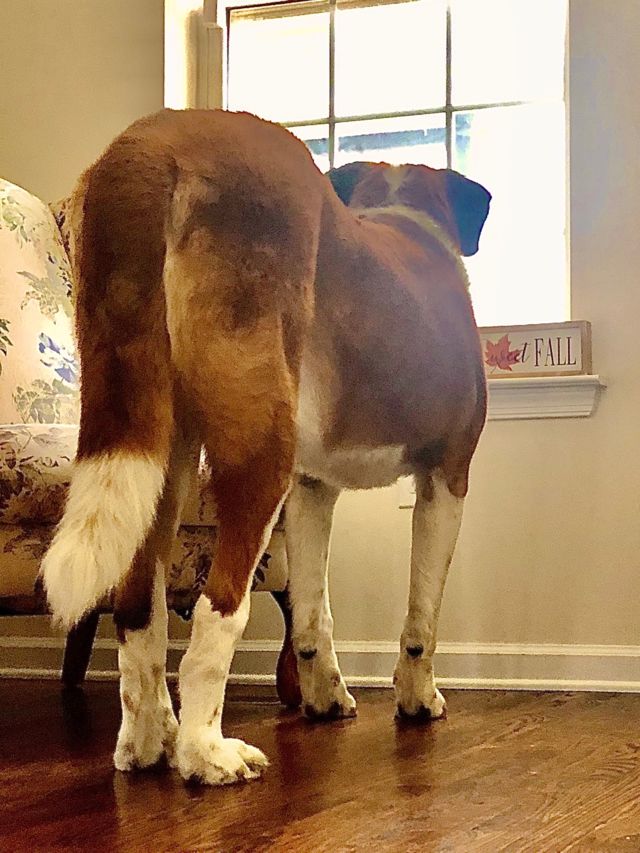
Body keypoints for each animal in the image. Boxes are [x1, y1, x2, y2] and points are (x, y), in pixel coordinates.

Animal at [42, 108, 491, 785]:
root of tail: (151, 143)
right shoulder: (448, 476)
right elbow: (422, 615)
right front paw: (417, 700)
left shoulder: (311, 489)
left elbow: (310, 611)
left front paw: (324, 697)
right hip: (261, 449)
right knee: (216, 609)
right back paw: (205, 753)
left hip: (162, 453)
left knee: (138, 605)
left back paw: (147, 742)